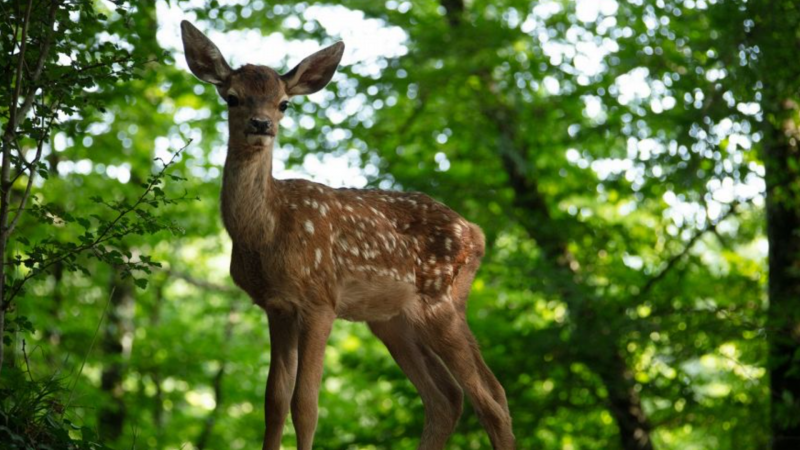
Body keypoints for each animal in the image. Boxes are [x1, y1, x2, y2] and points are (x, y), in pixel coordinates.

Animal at [180, 20, 516, 450]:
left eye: (283, 103)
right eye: (232, 98)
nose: (261, 124)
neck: (267, 231)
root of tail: (476, 233)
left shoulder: (321, 299)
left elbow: (305, 404)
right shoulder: (276, 306)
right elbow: (273, 401)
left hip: (439, 299)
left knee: (489, 399)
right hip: (393, 319)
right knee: (450, 396)